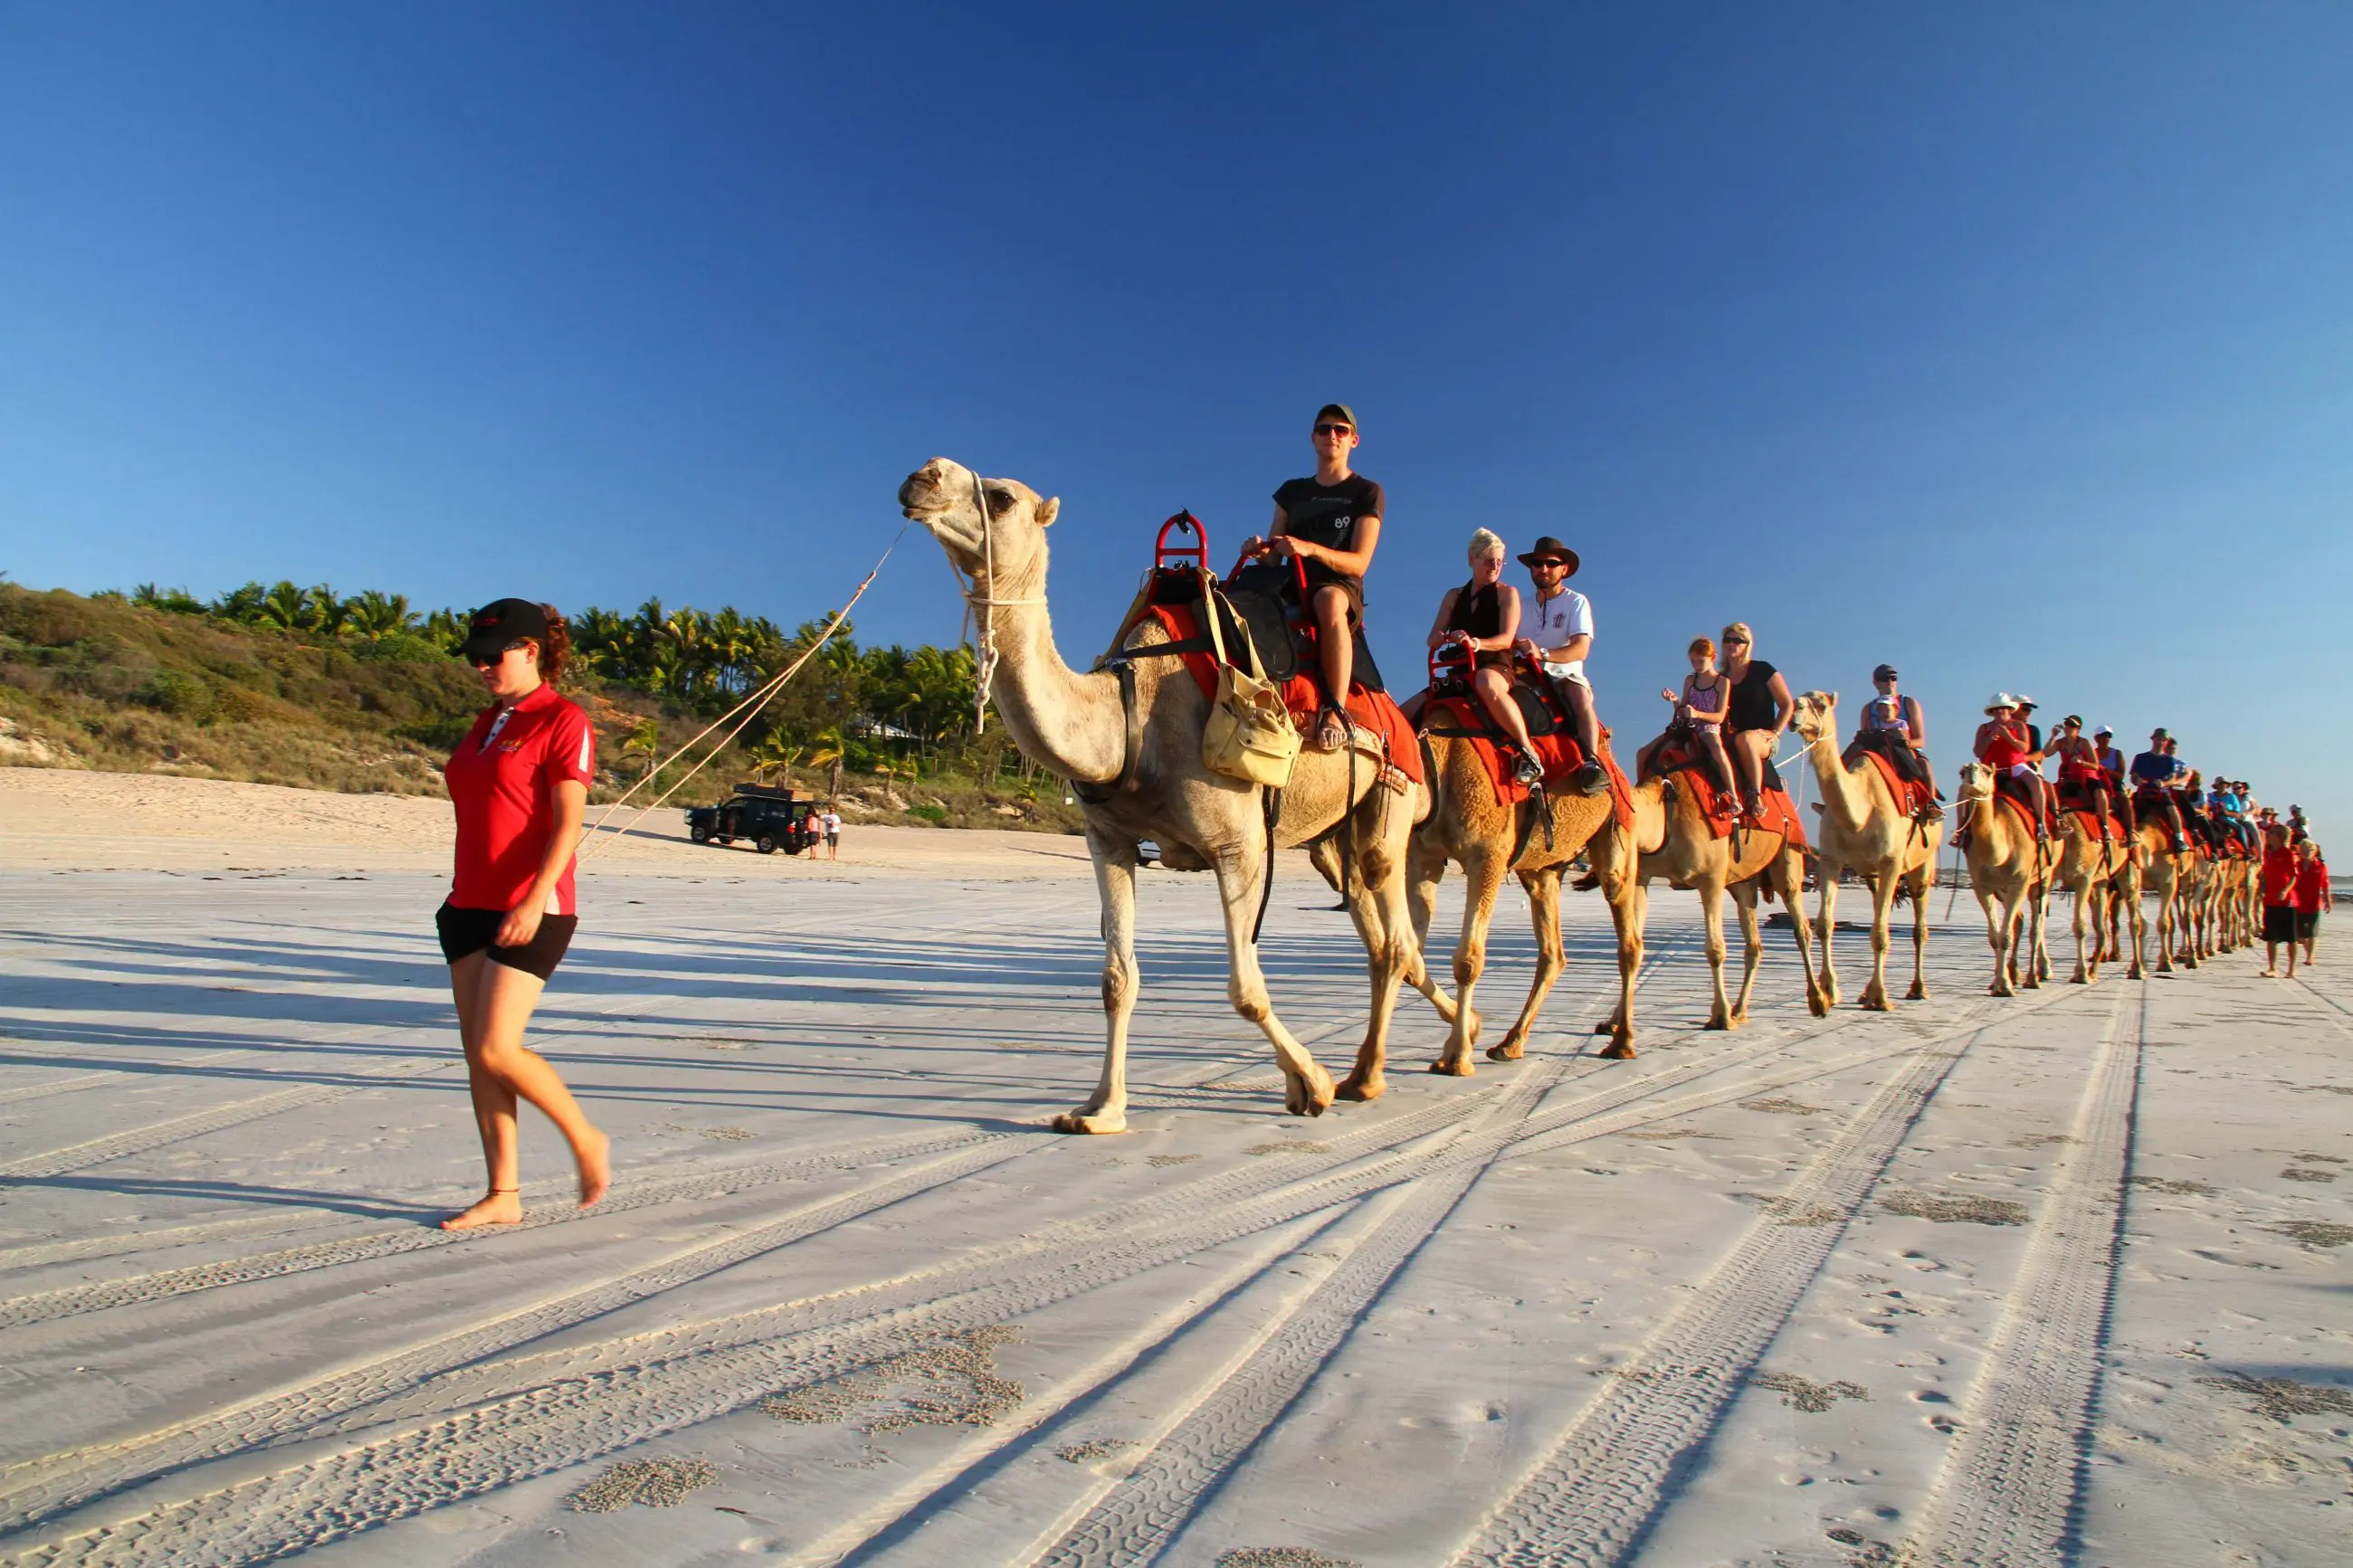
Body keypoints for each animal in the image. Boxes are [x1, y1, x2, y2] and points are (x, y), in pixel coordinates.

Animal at [899, 458, 1449, 1132]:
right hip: (1331, 835)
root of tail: (1400, 717)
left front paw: (1312, 1083)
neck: (1127, 717)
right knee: (1385, 942)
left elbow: (1245, 989)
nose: (921, 477)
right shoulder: (1108, 842)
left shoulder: (1238, 844)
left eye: (1001, 497)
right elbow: (1117, 979)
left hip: (1390, 797)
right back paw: (1449, 1041)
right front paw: (1100, 1109)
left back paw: (1370, 1075)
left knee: (1394, 934)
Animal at [1616, 771, 1822, 1029]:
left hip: (1789, 855)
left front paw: (1721, 1016)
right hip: (1743, 882)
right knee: (1753, 941)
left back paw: (1819, 1000)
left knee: (1801, 923)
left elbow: (1715, 948)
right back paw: (1740, 1010)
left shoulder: (1711, 878)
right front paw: (1614, 1021)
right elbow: (1633, 945)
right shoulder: (1641, 875)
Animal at [1789, 692, 1945, 1010]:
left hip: (1922, 865)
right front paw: (1830, 990)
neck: (1860, 813)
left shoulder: (1891, 863)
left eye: (1821, 704)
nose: (1794, 715)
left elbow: (1880, 934)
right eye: (1797, 700)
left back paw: (1918, 988)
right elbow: (1825, 924)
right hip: (1871, 875)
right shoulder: (1831, 861)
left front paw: (1879, 996)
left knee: (1919, 925)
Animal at [1956, 763, 2054, 996]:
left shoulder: (2019, 881)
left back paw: (2036, 976)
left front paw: (2005, 986)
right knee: (2020, 921)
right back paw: (2016, 972)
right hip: (2004, 891)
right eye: (1962, 772)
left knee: (2038, 925)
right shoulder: (1982, 886)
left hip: (2043, 878)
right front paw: (1998, 983)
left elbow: (2006, 936)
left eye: (1986, 771)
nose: (1971, 769)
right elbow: (1996, 937)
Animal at [2047, 806, 2131, 984]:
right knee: (2101, 924)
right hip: (2101, 882)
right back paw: (2095, 968)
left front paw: (2081, 974)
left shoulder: (2083, 877)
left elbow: (2080, 926)